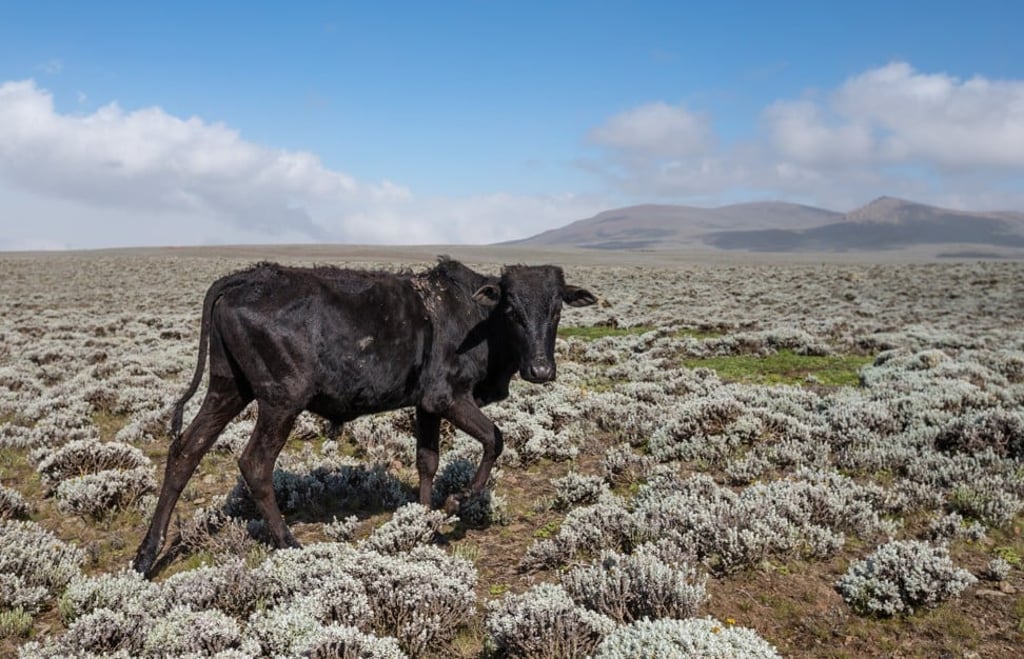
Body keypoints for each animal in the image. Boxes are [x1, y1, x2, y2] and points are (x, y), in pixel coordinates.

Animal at [132, 257, 596, 575]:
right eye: (512, 310)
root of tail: (246, 276)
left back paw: (146, 555)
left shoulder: (426, 405)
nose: (540, 370)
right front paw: (458, 500)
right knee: (254, 463)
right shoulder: (449, 398)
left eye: (556, 309)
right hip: (281, 401)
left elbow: (427, 461)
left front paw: (422, 521)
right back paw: (288, 542)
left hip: (227, 388)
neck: (475, 319)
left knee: (185, 451)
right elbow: (493, 439)